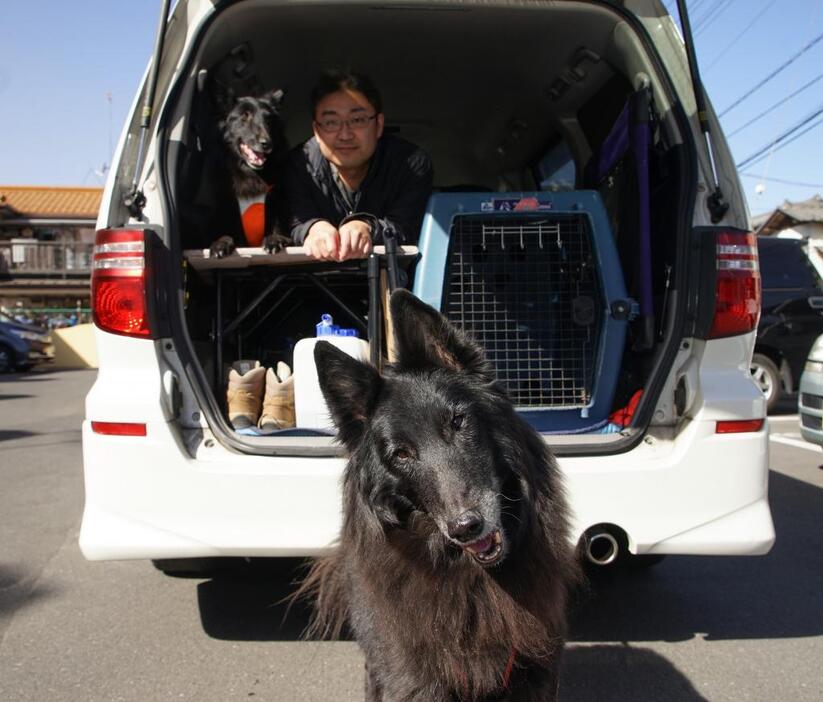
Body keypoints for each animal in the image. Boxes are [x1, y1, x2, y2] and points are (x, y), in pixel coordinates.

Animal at [208, 88, 292, 258]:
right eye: (245, 116)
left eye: (268, 120)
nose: (267, 144)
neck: (251, 174)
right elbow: (225, 233)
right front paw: (220, 244)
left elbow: (278, 231)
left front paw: (274, 240)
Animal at [300, 288, 584, 700]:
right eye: (401, 454)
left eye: (458, 421)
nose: (465, 527)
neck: (473, 577)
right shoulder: (415, 678)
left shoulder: (537, 672)